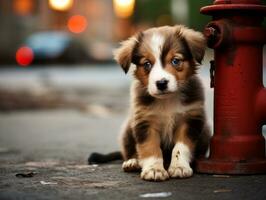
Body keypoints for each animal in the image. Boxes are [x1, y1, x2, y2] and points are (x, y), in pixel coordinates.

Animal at [113, 25, 211, 181]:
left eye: (176, 61)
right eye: (147, 64)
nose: (161, 83)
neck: (167, 100)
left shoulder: (190, 119)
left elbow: (180, 147)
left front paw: (179, 167)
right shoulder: (145, 122)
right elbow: (150, 147)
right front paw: (154, 169)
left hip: (206, 128)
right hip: (128, 129)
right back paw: (132, 162)